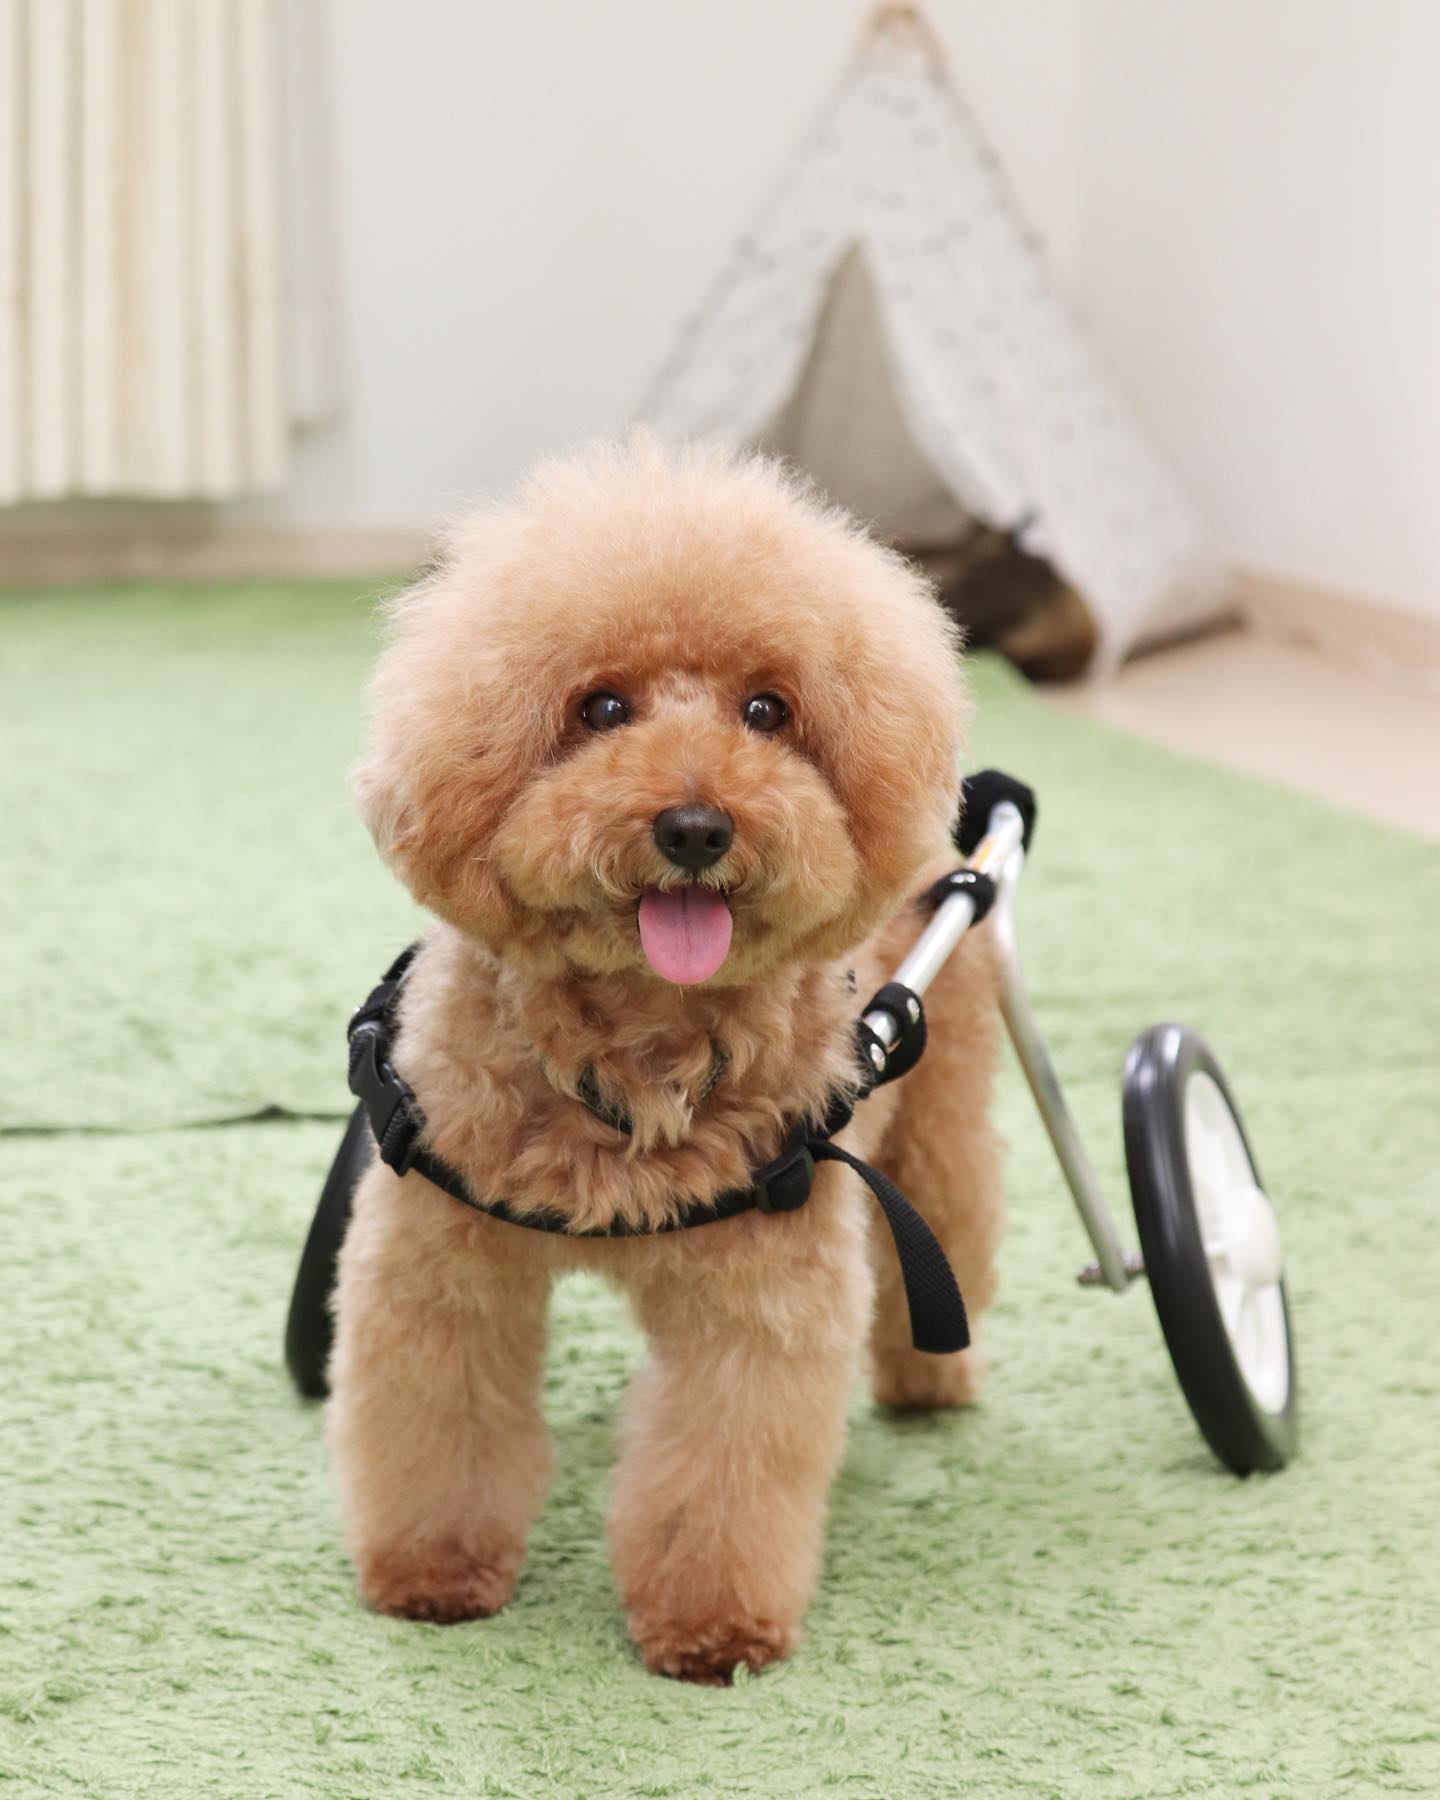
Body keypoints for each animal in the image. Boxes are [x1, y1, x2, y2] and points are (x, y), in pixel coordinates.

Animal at [328, 434, 1004, 1685]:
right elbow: (440, 1430)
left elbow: (722, 1472)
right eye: (600, 707)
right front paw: (433, 1576)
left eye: (767, 710)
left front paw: (712, 1630)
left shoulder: (759, 1305)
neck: (638, 1055)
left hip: (939, 1112)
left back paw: (930, 1382)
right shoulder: (441, 1273)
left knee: (950, 1234)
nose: (695, 827)